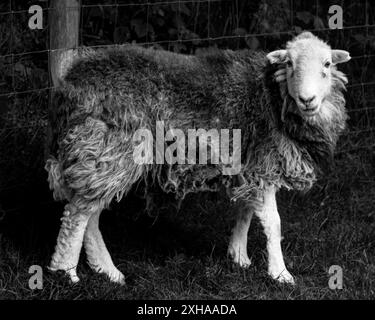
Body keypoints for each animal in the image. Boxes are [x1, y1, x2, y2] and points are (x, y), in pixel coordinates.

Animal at [44, 31, 352, 284]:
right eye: (289, 64)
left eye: (327, 65)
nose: (307, 100)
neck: (271, 97)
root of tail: (70, 82)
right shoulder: (264, 165)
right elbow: (274, 223)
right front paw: (280, 274)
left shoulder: (249, 165)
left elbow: (246, 212)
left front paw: (238, 257)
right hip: (107, 149)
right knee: (77, 214)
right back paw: (66, 271)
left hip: (98, 155)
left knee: (89, 213)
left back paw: (107, 271)